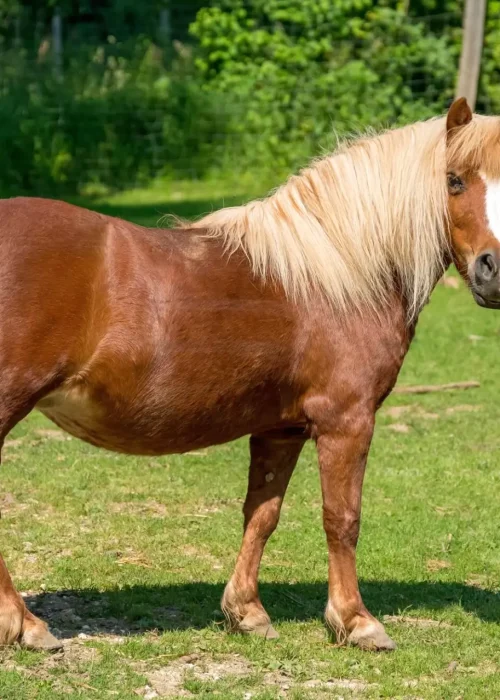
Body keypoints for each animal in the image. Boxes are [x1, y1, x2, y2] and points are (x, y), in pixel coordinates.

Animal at [1, 98, 500, 653]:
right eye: (454, 180)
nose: (493, 272)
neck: (335, 275)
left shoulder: (280, 429)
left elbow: (262, 515)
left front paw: (247, 612)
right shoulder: (346, 422)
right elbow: (341, 519)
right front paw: (356, 621)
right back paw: (26, 624)